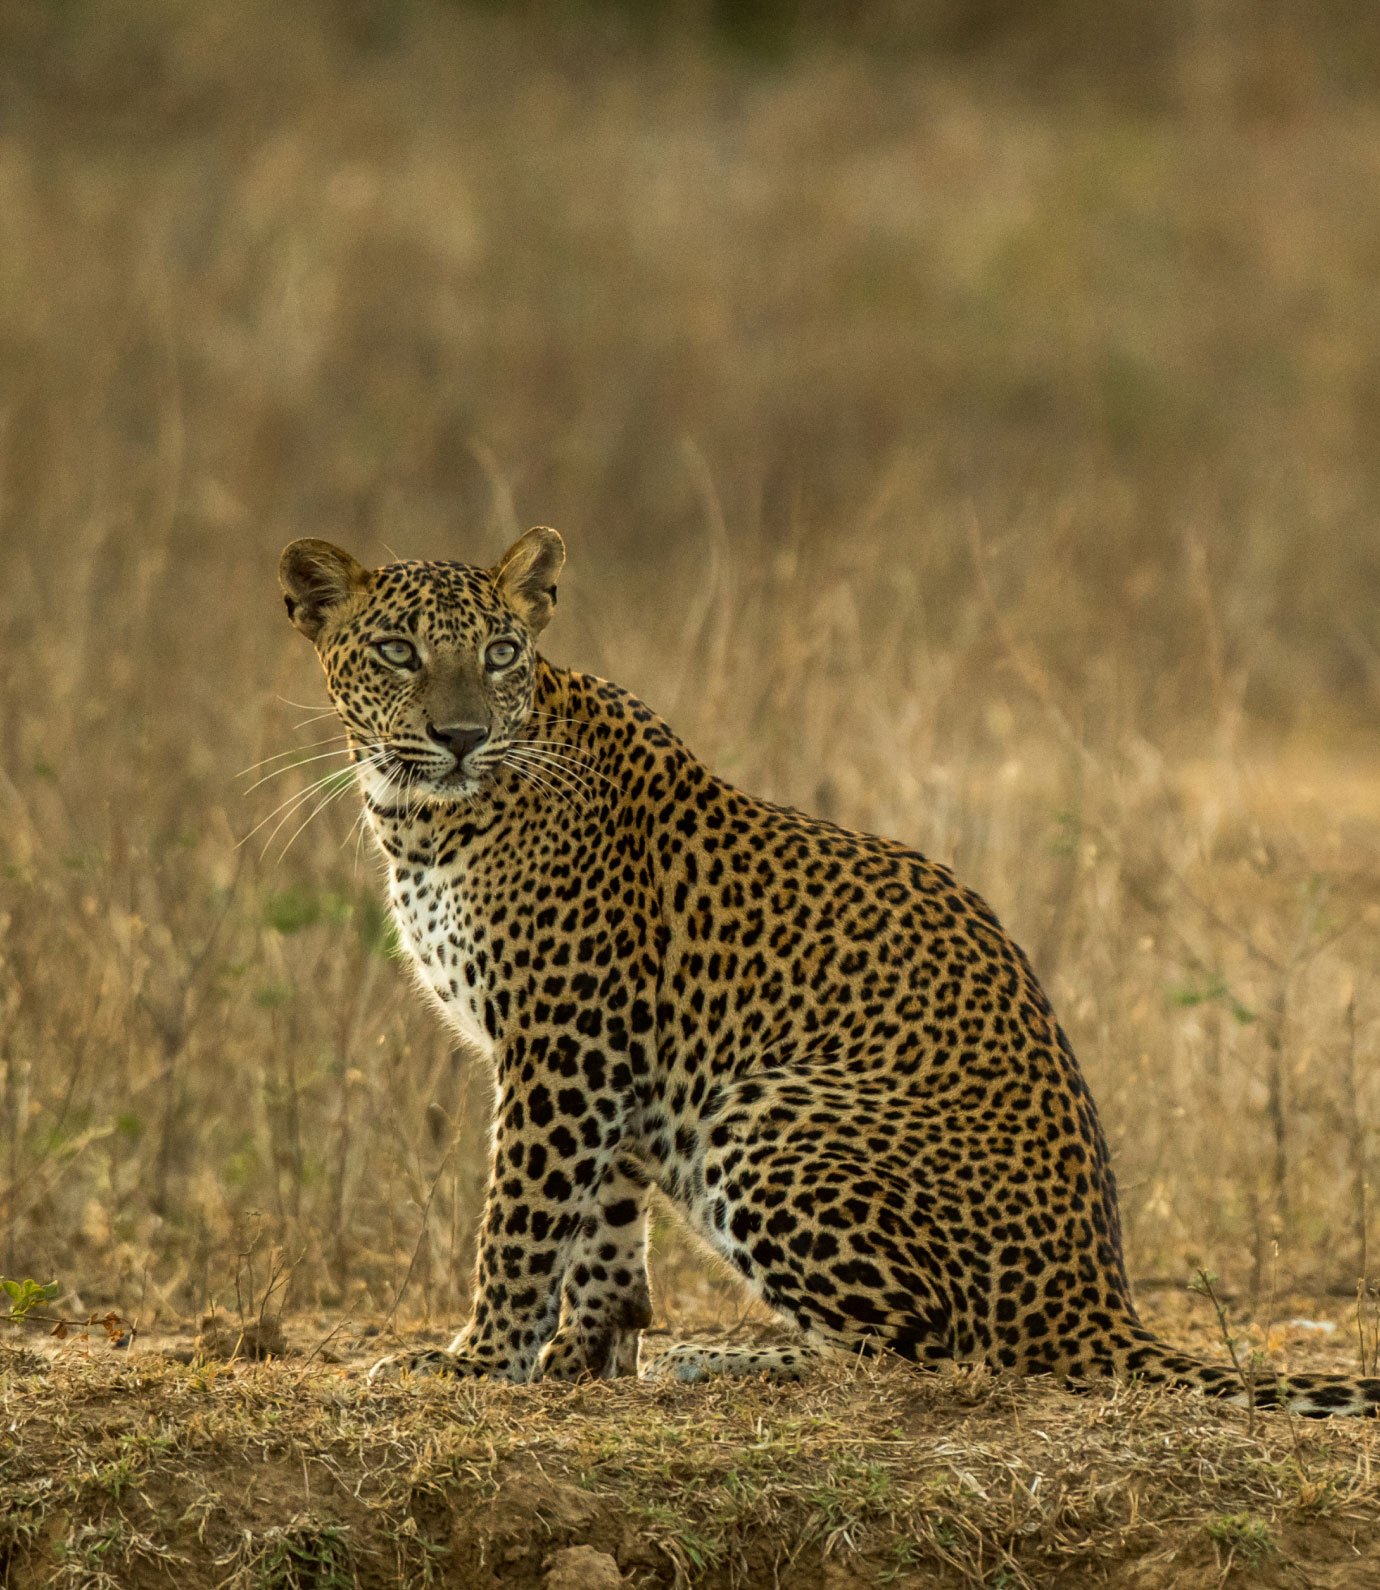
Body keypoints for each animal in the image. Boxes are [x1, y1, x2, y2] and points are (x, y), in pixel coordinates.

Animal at [278, 531, 1380, 1418]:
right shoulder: (608, 1059)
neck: (423, 816)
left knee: (925, 1355)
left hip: (759, 1112)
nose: (461, 735)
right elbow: (604, 1225)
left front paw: (479, 1359)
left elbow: (522, 1215)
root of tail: (1093, 1296)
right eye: (397, 650)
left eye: (501, 654)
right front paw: (585, 1355)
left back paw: (729, 1362)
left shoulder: (564, 1040)